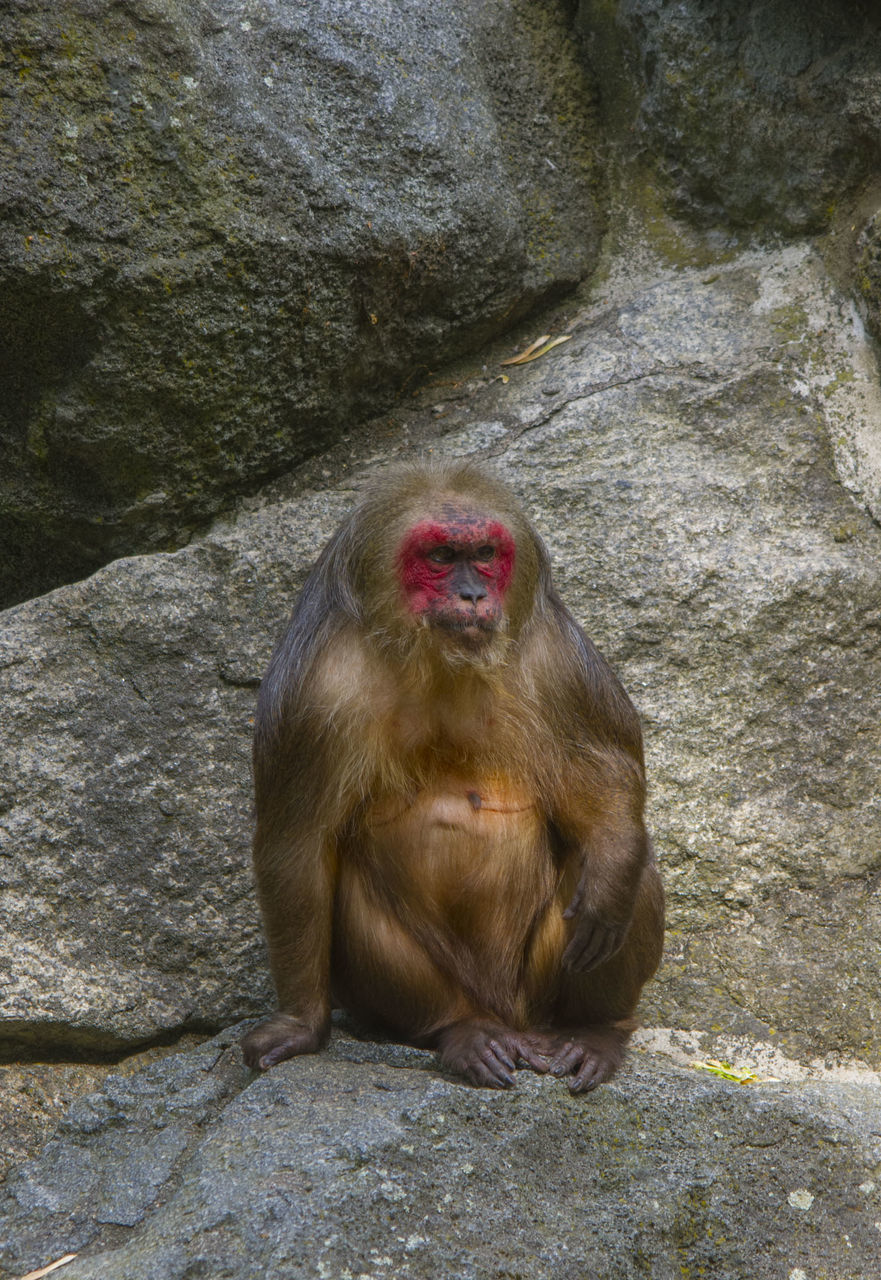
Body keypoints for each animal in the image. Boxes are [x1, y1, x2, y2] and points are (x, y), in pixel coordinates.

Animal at [240, 460, 660, 1090]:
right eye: (439, 557)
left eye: (484, 553)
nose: (473, 594)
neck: (435, 660)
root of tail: (511, 1016)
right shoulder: (314, 691)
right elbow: (297, 847)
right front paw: (298, 1023)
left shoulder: (554, 655)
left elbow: (608, 775)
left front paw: (611, 870)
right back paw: (460, 1032)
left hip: (536, 987)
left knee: (631, 865)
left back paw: (594, 1029)